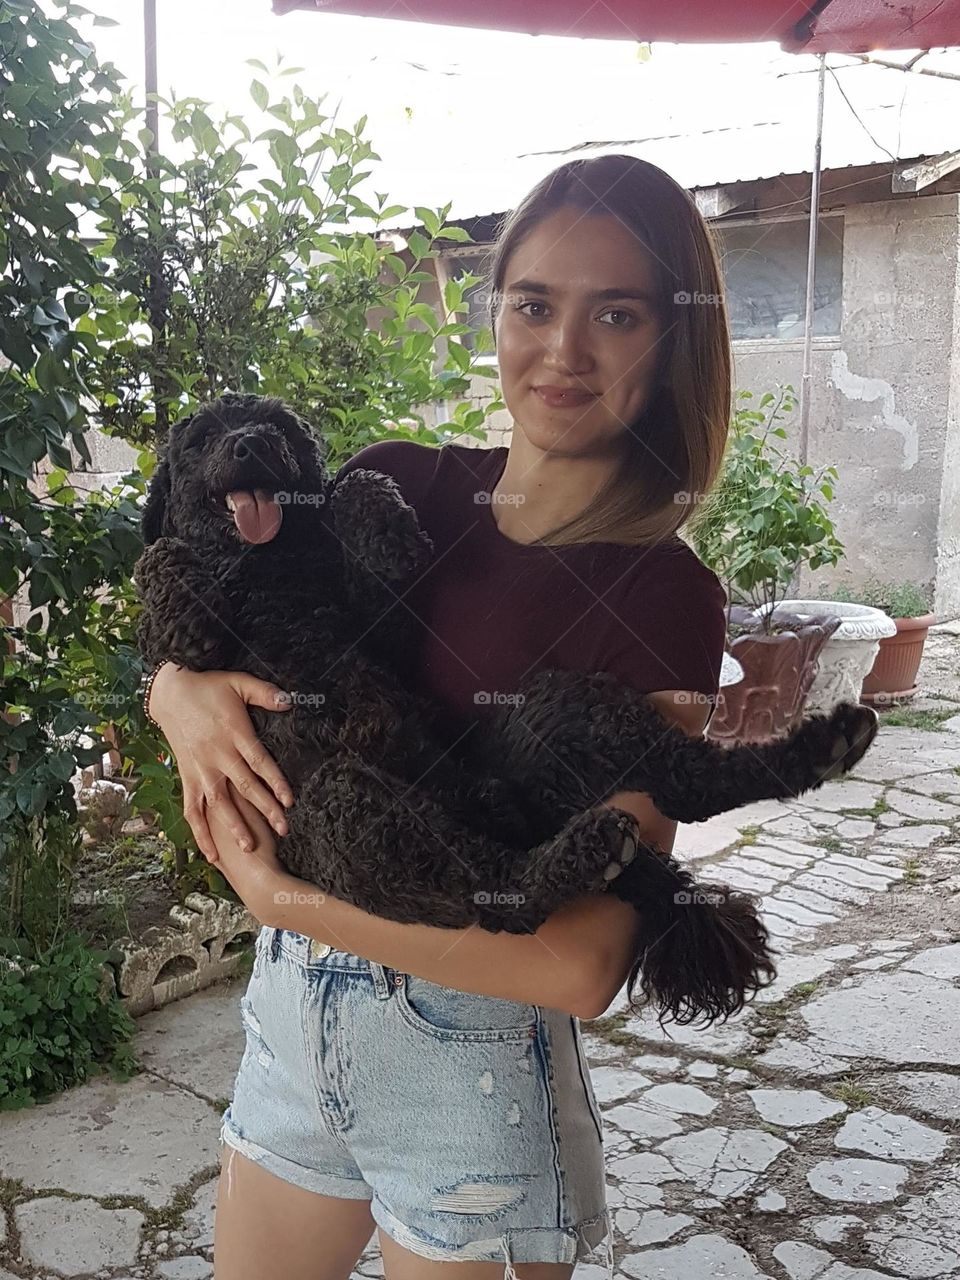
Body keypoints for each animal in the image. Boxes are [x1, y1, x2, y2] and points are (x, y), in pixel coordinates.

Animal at [135, 394, 880, 1024]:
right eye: (202, 439)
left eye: (279, 425)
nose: (252, 444)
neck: (269, 568)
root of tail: (503, 811)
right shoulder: (188, 641)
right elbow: (158, 563)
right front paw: (186, 598)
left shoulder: (381, 631)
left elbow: (357, 488)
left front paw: (387, 530)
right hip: (345, 802)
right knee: (501, 896)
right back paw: (591, 851)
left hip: (553, 711)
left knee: (681, 785)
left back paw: (818, 750)